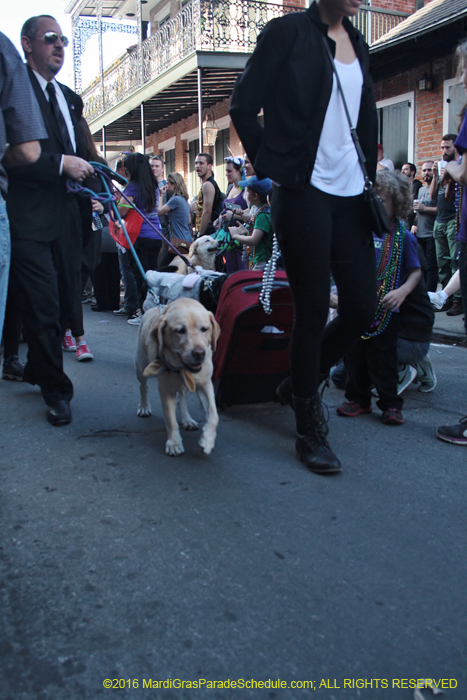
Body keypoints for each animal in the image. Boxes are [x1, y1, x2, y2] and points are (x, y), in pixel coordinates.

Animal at [137, 298, 221, 456]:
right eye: (180, 331)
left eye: (204, 329)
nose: (199, 353)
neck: (182, 368)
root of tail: (153, 307)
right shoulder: (166, 389)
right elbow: (170, 420)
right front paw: (174, 443)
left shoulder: (205, 383)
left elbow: (214, 415)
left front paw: (207, 440)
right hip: (141, 365)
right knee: (143, 386)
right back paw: (144, 407)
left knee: (181, 398)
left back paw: (187, 419)